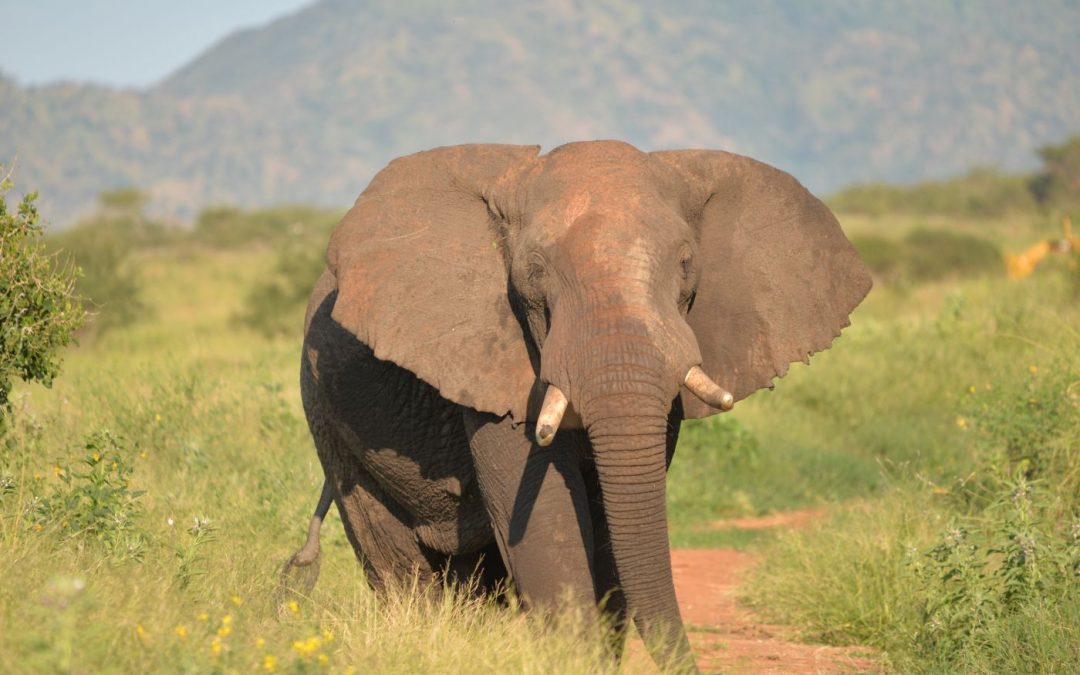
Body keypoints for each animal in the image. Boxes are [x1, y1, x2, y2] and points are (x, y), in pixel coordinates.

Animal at [282, 139, 872, 669]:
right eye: (534, 271)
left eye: (687, 265)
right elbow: (548, 525)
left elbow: (611, 523)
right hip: (329, 420)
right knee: (399, 563)